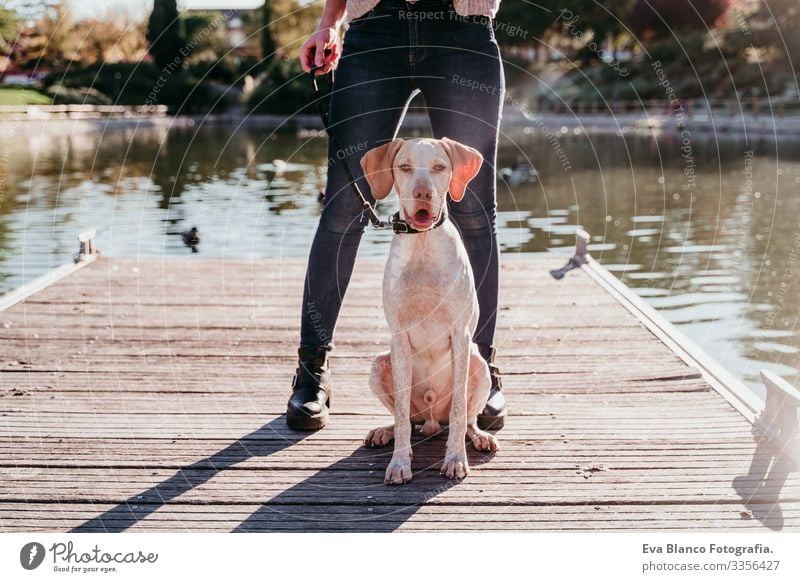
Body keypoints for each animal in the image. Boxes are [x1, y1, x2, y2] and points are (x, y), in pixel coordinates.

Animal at [360, 136, 496, 484]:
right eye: (405, 167)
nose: (423, 194)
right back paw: (385, 432)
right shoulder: (398, 337)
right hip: (380, 363)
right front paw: (399, 463)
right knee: (405, 418)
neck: (422, 246)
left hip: (479, 366)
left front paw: (455, 459)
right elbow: (402, 415)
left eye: (439, 167)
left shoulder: (460, 336)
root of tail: (433, 419)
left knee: (467, 419)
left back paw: (479, 437)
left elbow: (460, 410)